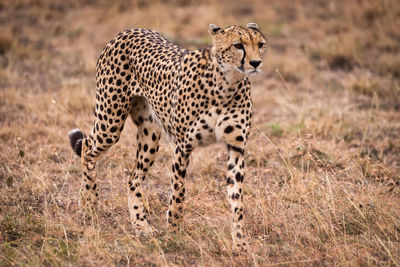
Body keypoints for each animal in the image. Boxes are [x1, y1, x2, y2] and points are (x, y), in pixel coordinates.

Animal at [68, 22, 268, 250]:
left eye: (260, 44)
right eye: (238, 45)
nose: (256, 63)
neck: (226, 83)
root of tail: (129, 30)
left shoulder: (236, 147)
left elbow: (237, 199)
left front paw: (240, 242)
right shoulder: (183, 145)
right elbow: (178, 191)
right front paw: (174, 231)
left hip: (150, 134)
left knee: (133, 178)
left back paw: (141, 225)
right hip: (110, 122)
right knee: (87, 147)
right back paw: (88, 202)